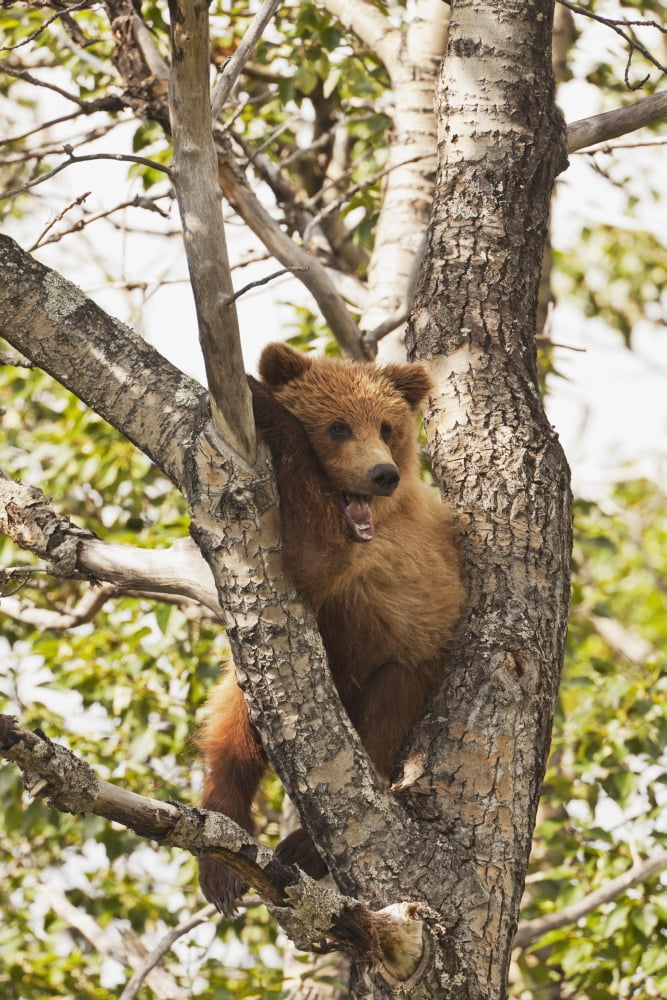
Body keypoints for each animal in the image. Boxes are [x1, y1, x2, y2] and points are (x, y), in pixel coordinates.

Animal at [197, 342, 464, 913]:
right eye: (339, 426)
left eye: (387, 426)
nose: (382, 474)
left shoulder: (378, 561)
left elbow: (314, 553)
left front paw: (260, 396)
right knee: (234, 729)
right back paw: (223, 855)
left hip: (408, 664)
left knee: (386, 715)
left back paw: (304, 846)